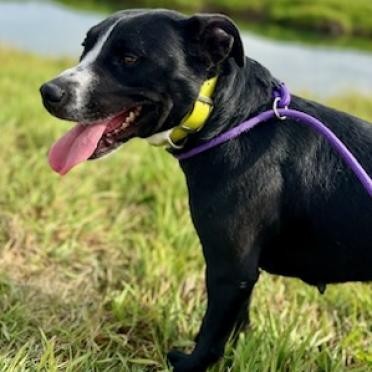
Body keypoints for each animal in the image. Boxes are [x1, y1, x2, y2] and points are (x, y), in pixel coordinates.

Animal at [39, 8, 370, 372]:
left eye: (129, 58)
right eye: (86, 47)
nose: (48, 92)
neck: (228, 119)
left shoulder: (230, 270)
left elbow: (211, 337)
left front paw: (189, 364)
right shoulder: (243, 274)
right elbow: (236, 325)